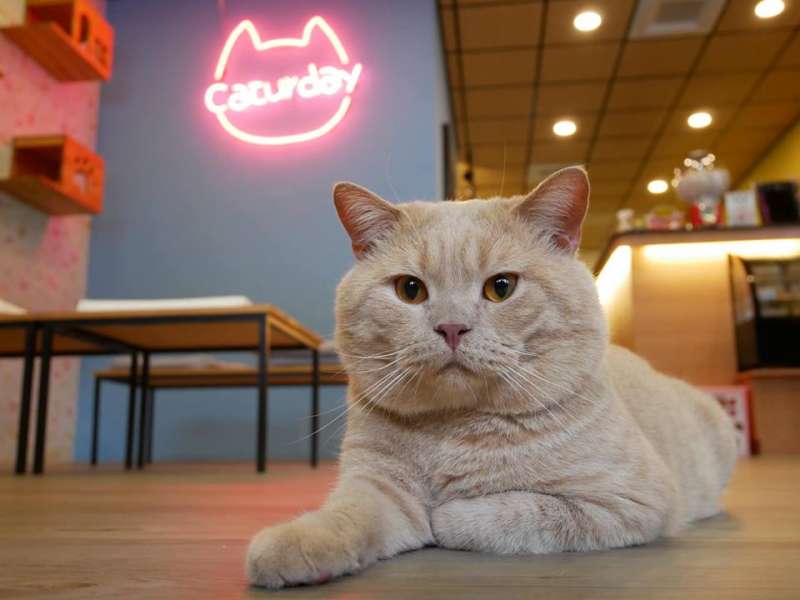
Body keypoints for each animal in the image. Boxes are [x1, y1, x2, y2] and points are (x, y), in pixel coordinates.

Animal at [244, 166, 736, 588]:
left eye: (501, 287)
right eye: (410, 289)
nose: (452, 327)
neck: (454, 428)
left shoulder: (629, 503)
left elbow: (515, 512)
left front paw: (447, 516)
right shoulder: (377, 486)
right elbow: (348, 514)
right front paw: (298, 543)